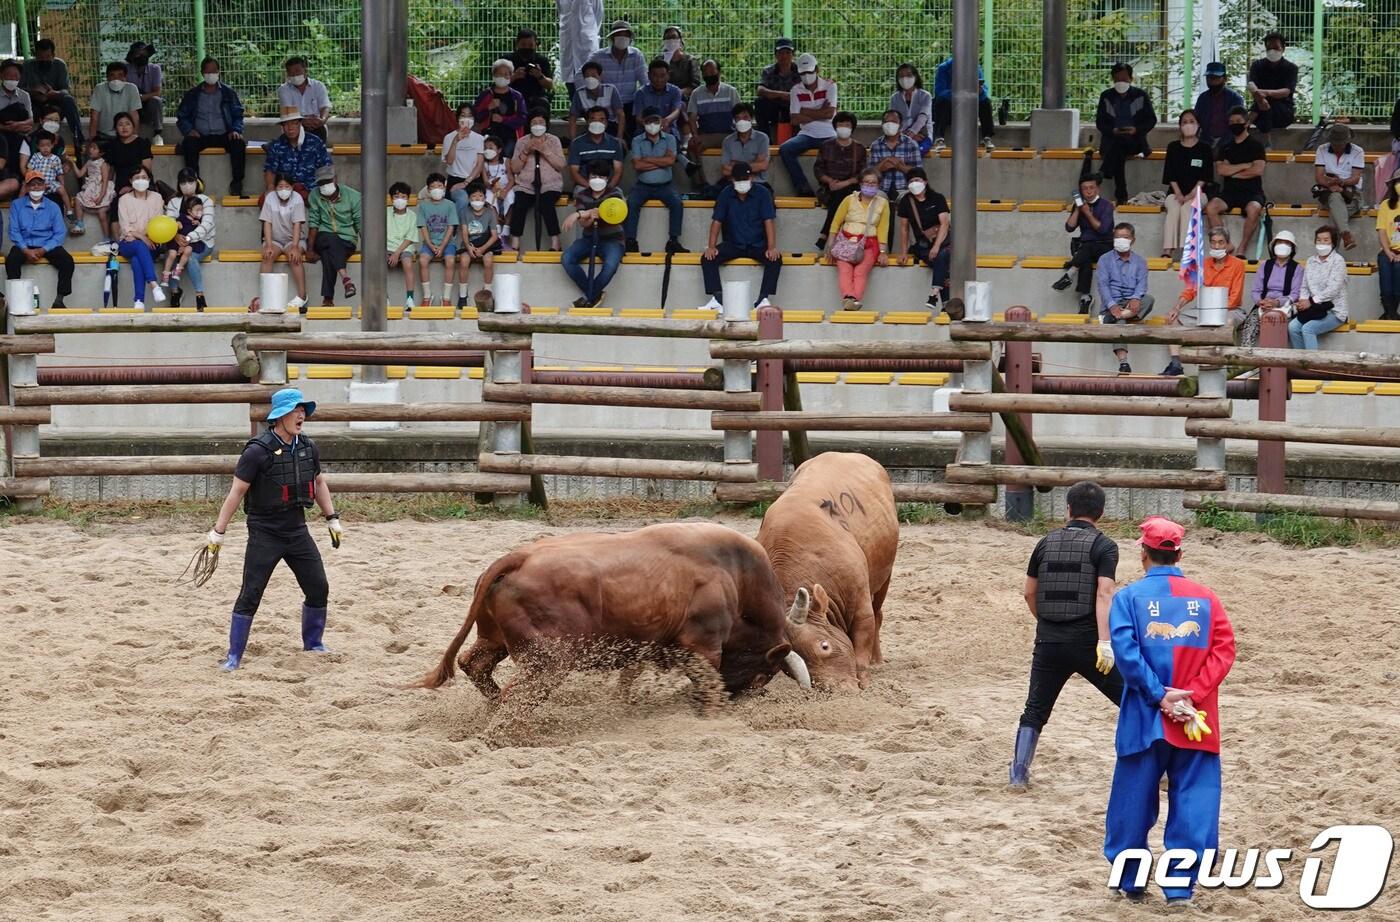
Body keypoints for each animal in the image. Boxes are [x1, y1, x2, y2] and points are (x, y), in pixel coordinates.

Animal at [411, 523, 812, 710]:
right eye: (762, 676)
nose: (741, 700)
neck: (735, 576)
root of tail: (520, 557)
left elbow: (628, 679)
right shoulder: (704, 647)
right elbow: (707, 683)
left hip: (495, 639)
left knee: (474, 663)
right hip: (548, 662)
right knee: (515, 698)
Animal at [756, 450, 896, 688]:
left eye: (824, 646)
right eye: (788, 671)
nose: (836, 690)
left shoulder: (861, 607)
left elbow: (862, 648)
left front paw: (865, 682)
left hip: (885, 577)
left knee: (878, 613)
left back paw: (877, 659)